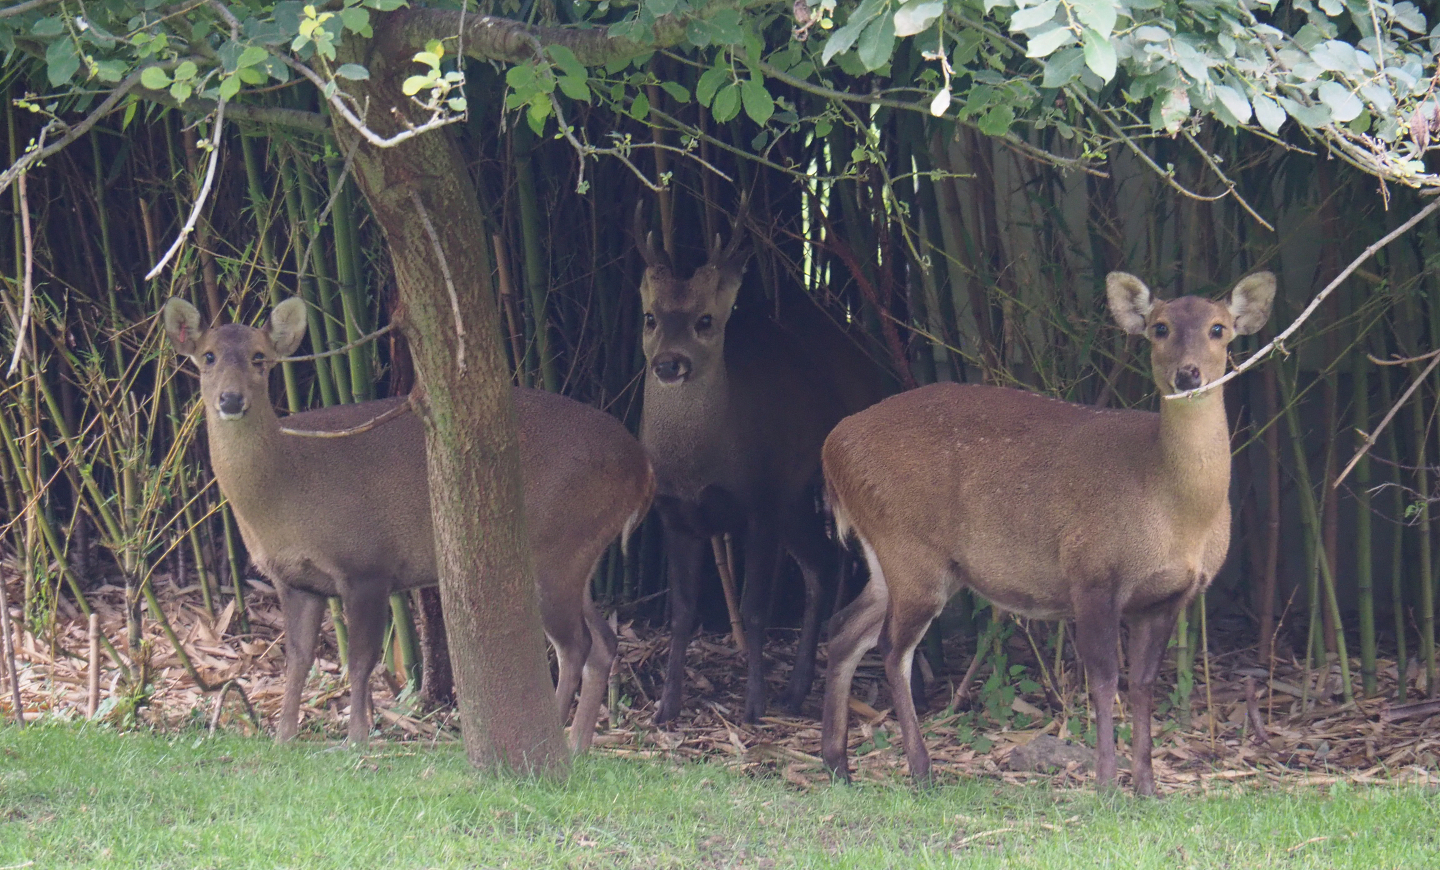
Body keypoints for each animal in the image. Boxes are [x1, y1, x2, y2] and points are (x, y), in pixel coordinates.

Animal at [163, 296, 654, 750]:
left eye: (260, 357)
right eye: (208, 356)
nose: (231, 399)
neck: (283, 490)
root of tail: (642, 465)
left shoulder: (366, 564)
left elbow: (361, 660)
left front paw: (356, 740)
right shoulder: (294, 579)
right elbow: (298, 659)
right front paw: (284, 738)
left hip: (559, 542)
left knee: (575, 646)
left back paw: (556, 740)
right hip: (580, 550)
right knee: (604, 641)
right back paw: (580, 744)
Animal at [635, 207, 892, 725]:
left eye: (705, 320)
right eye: (651, 317)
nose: (669, 364)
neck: (701, 464)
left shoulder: (759, 502)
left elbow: (755, 609)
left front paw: (753, 705)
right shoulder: (674, 513)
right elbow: (682, 612)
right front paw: (667, 707)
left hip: (811, 486)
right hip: (792, 495)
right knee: (822, 562)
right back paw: (797, 690)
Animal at [819, 271, 1275, 795]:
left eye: (1219, 328)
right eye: (1159, 327)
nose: (1188, 374)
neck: (1176, 510)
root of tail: (831, 446)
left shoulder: (1170, 596)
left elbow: (1143, 683)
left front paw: (1147, 786)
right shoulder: (1092, 571)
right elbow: (1103, 680)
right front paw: (1106, 786)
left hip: (889, 557)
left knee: (844, 628)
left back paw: (837, 765)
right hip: (910, 549)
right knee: (893, 650)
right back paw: (921, 770)